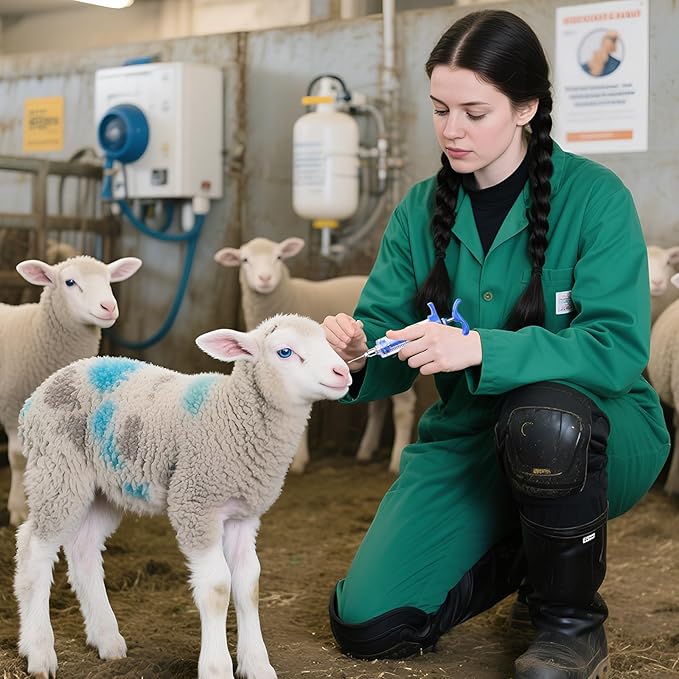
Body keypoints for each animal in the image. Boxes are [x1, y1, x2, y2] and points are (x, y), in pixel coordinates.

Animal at [0, 254, 142, 526]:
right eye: (70, 282)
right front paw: (18, 508)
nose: (109, 307)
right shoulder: (13, 409)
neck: (35, 332)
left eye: (109, 280)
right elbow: (18, 459)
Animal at [14, 313, 351, 679]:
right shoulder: (194, 503)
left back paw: (107, 640)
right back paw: (39, 651)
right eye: (285, 351)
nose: (343, 373)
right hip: (58, 469)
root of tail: (37, 395)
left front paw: (257, 664)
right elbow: (218, 586)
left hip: (104, 489)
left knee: (83, 549)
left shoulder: (244, 515)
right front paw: (216, 667)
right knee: (34, 549)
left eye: (328, 341)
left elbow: (249, 584)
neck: (232, 416)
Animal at [214, 236, 416, 474]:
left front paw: (298, 461)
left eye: (279, 257)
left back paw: (395, 460)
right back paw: (366, 450)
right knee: (378, 403)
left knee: (403, 408)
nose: (265, 279)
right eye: (245, 260)